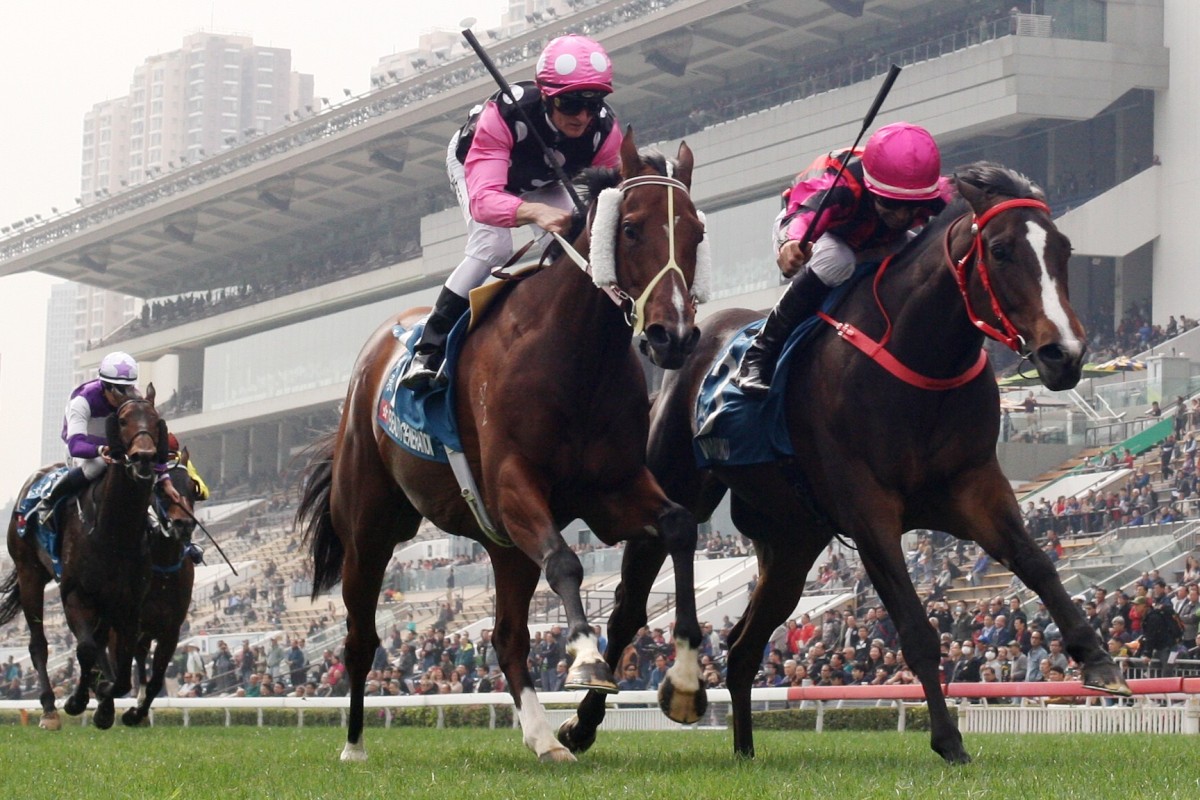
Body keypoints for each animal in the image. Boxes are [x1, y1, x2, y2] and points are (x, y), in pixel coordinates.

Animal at [0, 388, 169, 734]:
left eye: (156, 419)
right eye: (122, 420)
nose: (144, 457)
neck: (114, 531)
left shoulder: (129, 604)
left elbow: (122, 667)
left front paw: (105, 701)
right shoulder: (75, 594)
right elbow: (86, 648)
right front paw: (77, 701)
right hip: (29, 573)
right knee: (39, 644)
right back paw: (49, 709)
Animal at [120, 455, 199, 724]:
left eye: (193, 488)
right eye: (161, 489)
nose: (183, 524)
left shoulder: (170, 629)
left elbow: (156, 680)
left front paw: (137, 714)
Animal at [300, 131, 710, 762]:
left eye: (695, 233)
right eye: (631, 228)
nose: (674, 337)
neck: (574, 355)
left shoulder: (612, 490)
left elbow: (680, 526)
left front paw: (686, 680)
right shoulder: (513, 484)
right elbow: (566, 561)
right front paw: (585, 658)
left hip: (505, 547)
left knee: (508, 637)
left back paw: (543, 737)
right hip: (369, 527)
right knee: (361, 636)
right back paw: (354, 746)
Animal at [585, 163, 1128, 762]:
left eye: (1064, 249)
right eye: (1002, 250)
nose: (1065, 354)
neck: (921, 363)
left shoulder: (975, 485)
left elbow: (1037, 564)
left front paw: (1098, 660)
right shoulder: (868, 509)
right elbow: (915, 626)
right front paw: (949, 740)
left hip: (793, 541)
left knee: (744, 645)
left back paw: (745, 751)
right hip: (674, 488)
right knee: (629, 609)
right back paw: (581, 725)